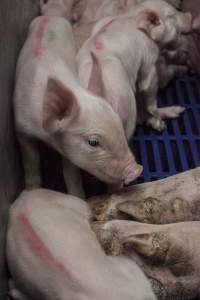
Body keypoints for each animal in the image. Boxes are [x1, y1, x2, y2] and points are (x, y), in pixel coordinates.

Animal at [13, 15, 142, 199]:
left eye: (119, 125)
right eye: (93, 142)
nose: (137, 169)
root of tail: (49, 16)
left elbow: (70, 173)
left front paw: (78, 198)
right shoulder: (21, 129)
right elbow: (31, 162)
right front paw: (33, 190)